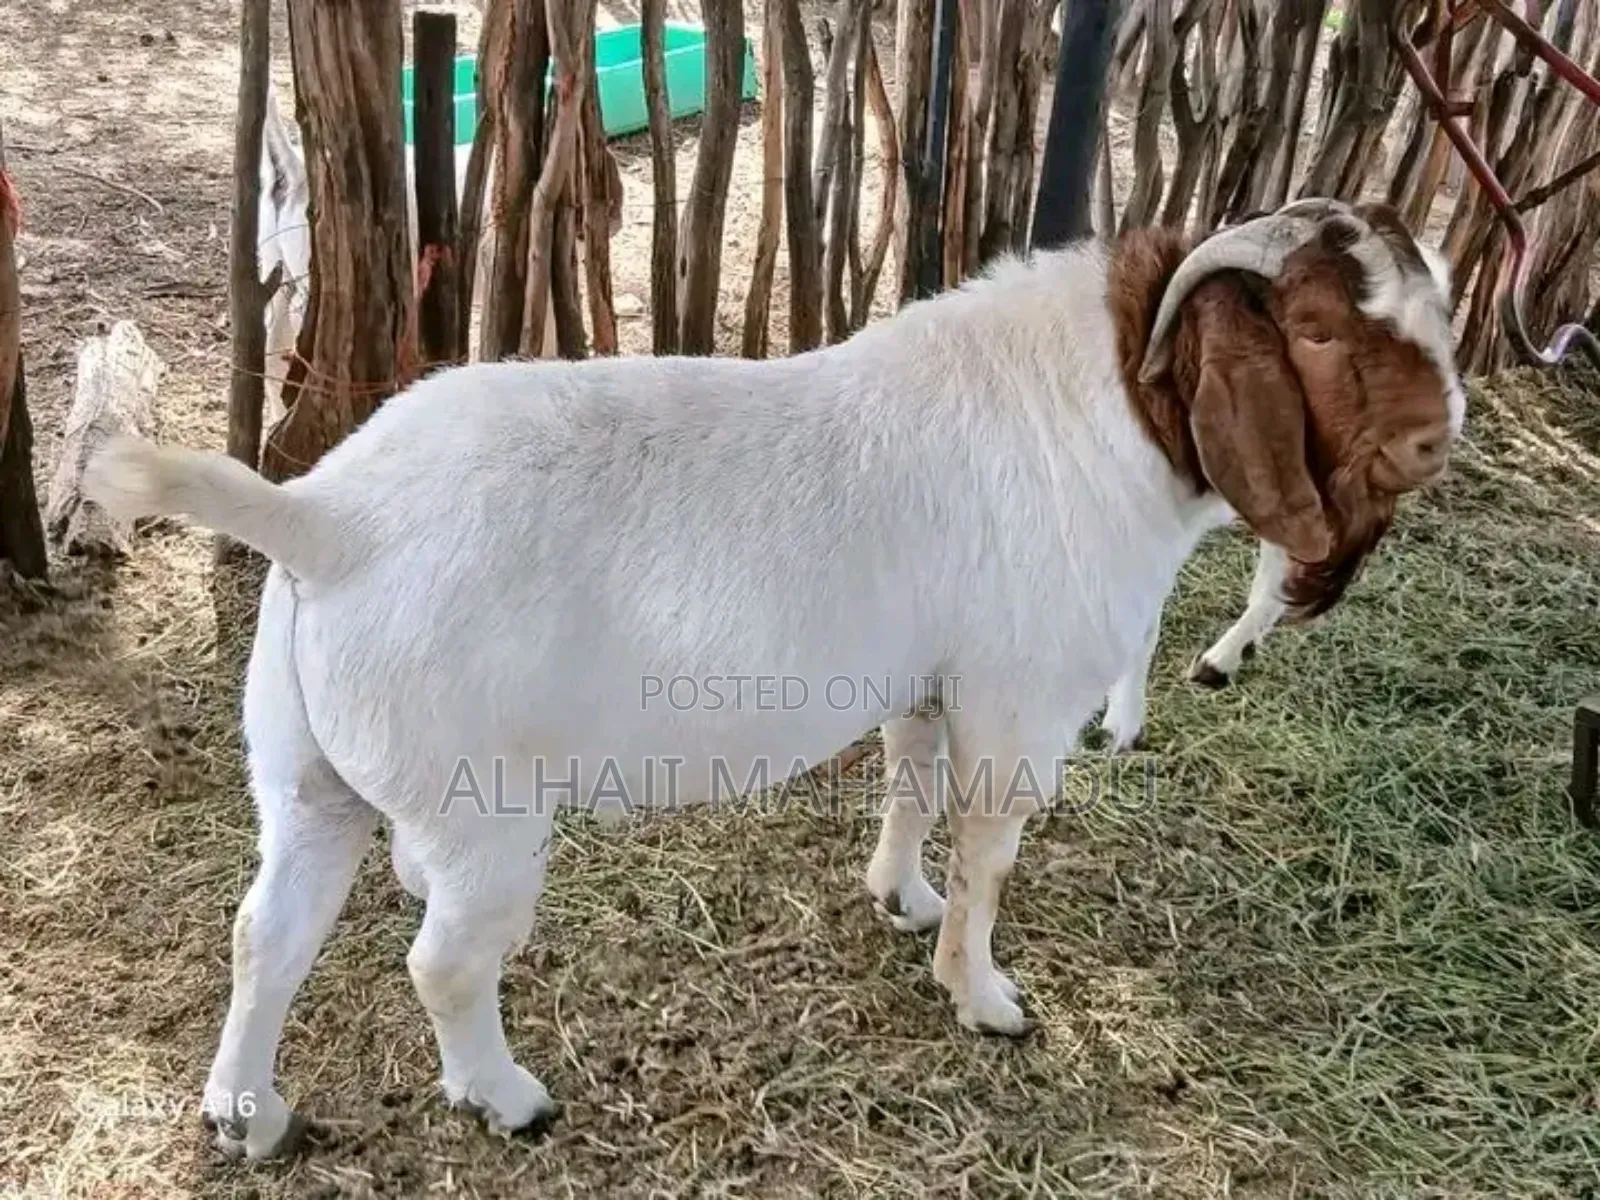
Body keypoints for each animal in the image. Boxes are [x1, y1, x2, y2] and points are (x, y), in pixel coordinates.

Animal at [84, 198, 1463, 1160]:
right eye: (1317, 328)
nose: (1435, 438)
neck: (1102, 405)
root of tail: (328, 520)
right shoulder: (1018, 696)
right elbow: (989, 850)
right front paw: (984, 996)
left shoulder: (930, 680)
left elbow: (910, 789)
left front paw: (899, 899)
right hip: (481, 805)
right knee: (446, 962)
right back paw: (508, 1099)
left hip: (305, 769)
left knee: (267, 933)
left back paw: (250, 1118)